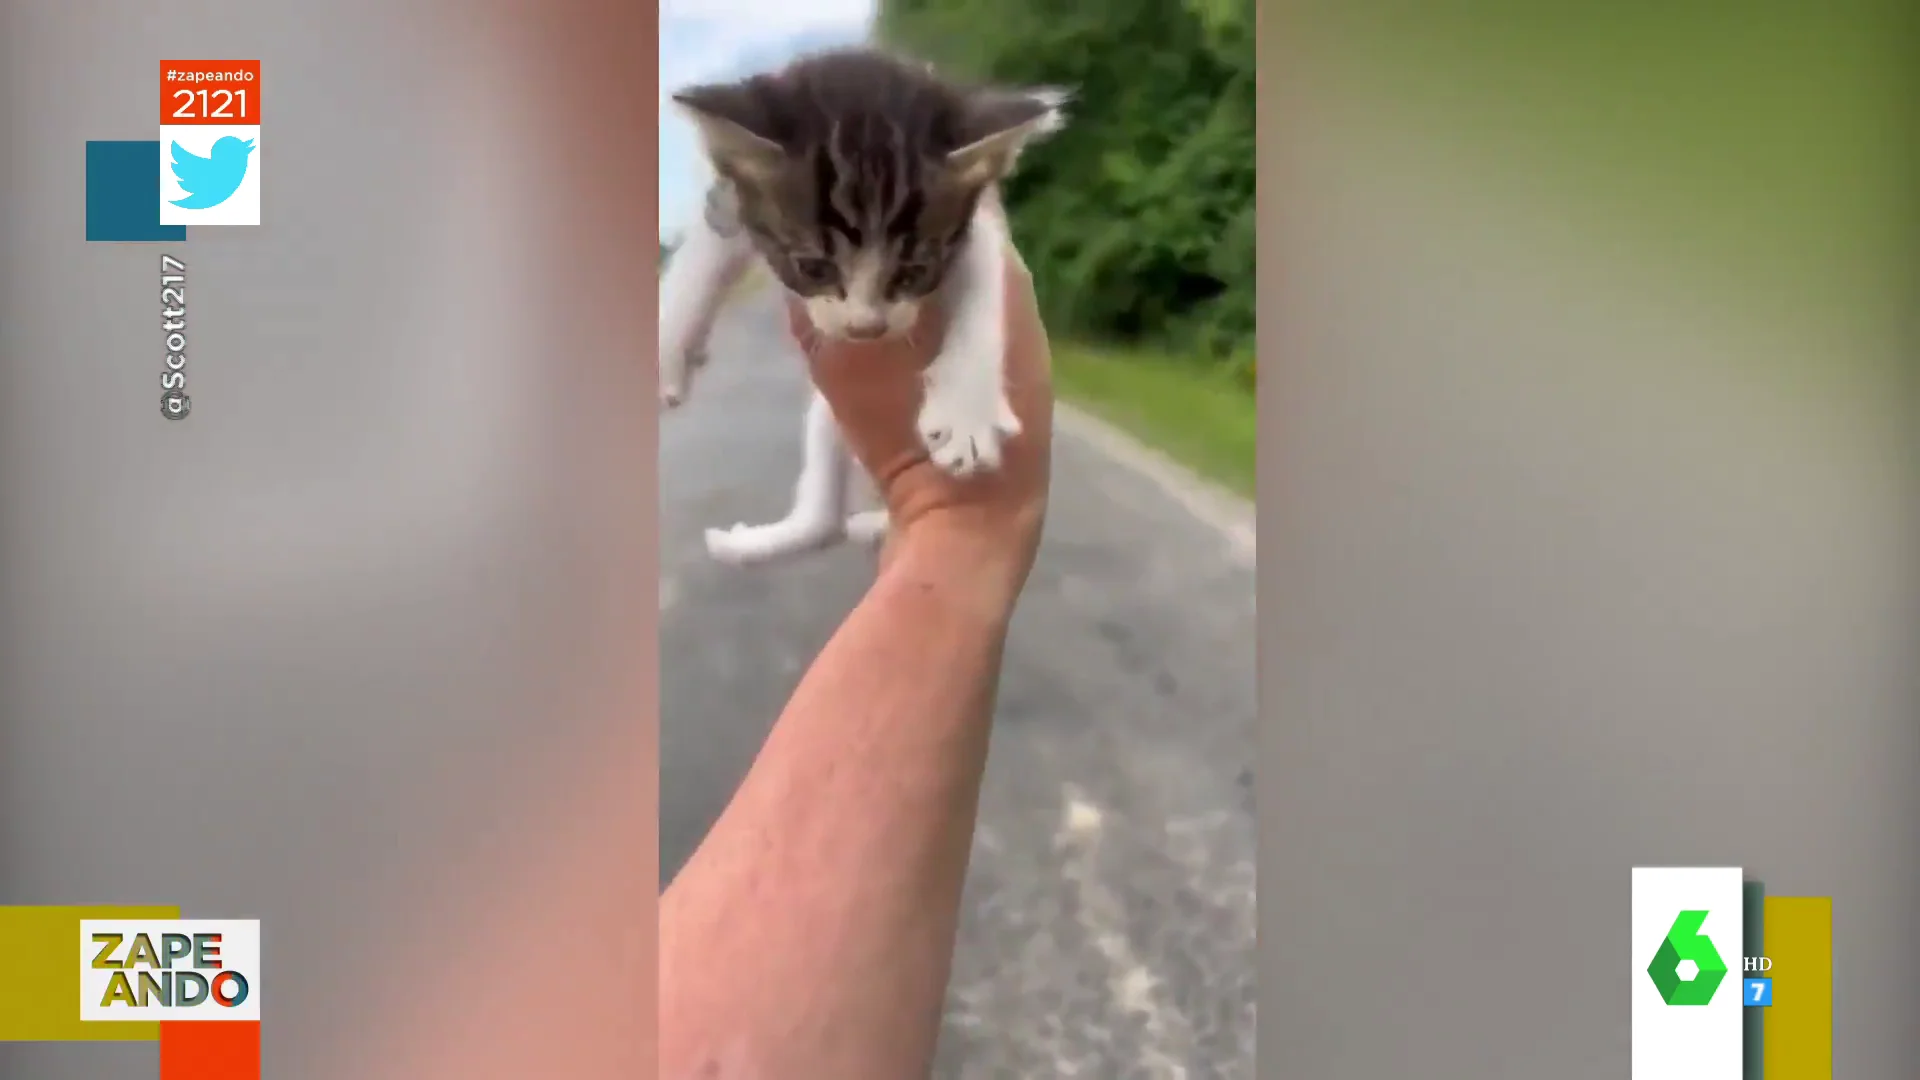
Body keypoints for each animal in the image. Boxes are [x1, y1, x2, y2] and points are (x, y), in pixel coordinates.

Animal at [660, 42, 1067, 564]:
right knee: (824, 521)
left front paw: (966, 414)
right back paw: (753, 544)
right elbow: (705, 251)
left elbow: (982, 293)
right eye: (814, 268)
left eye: (914, 272)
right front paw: (668, 347)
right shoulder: (739, 199)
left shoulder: (978, 227)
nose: (865, 328)